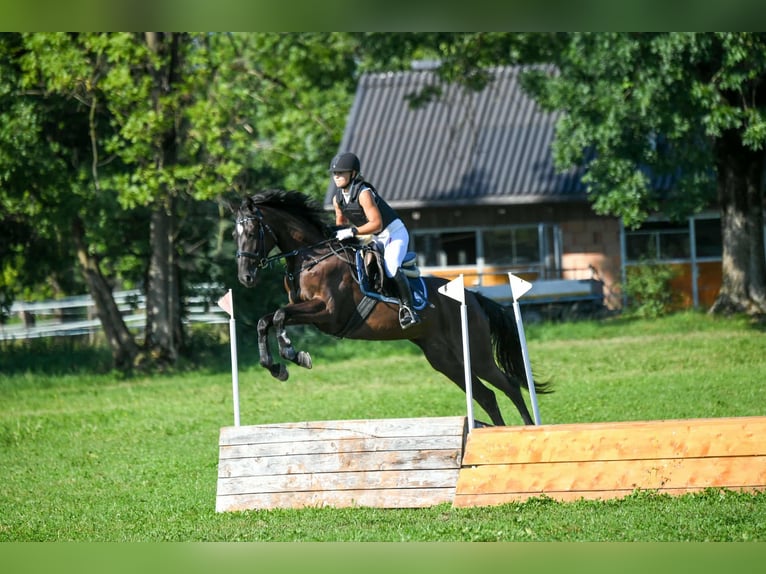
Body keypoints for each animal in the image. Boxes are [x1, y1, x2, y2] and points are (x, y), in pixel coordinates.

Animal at [233, 189, 551, 426]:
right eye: (235, 235)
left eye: (252, 230)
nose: (245, 277)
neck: (312, 257)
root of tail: (472, 297)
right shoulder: (304, 310)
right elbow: (267, 320)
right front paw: (276, 366)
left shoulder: (327, 313)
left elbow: (277, 316)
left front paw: (293, 355)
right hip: (443, 358)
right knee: (486, 396)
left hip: (475, 352)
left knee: (509, 385)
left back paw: (526, 429)